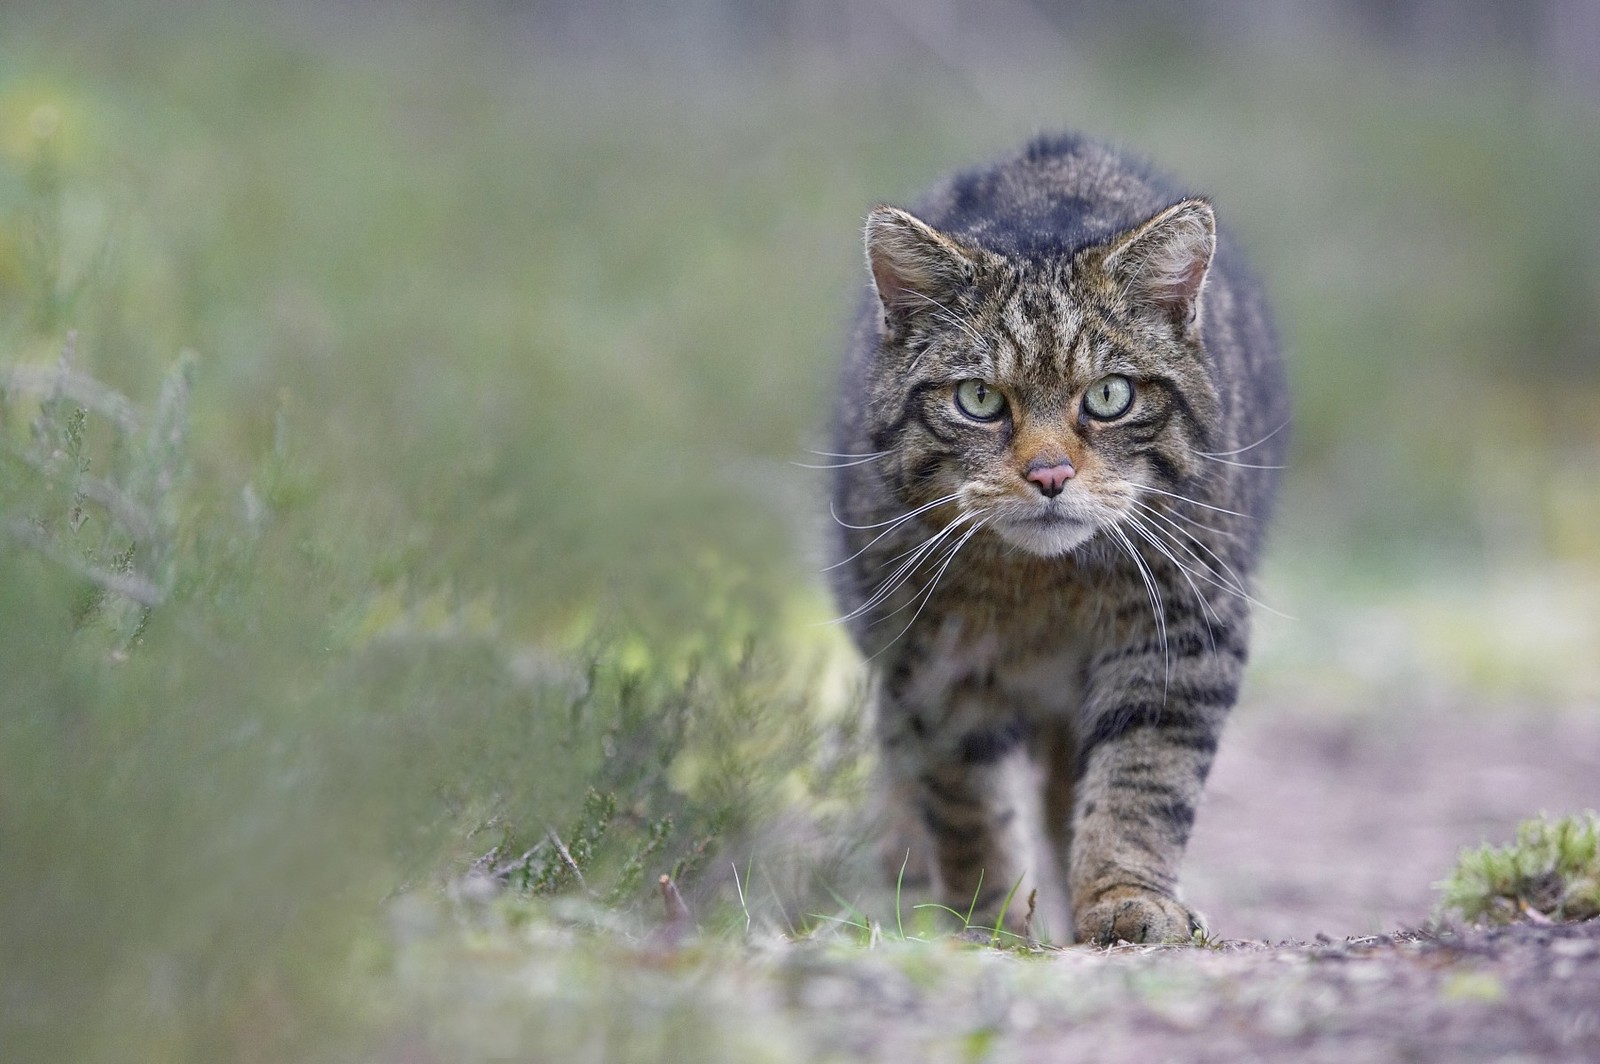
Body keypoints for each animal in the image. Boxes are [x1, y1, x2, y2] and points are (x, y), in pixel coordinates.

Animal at [825, 135, 1286, 947]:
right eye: (979, 399)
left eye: (1110, 396)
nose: (1049, 474)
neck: (1047, 586)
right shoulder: (933, 663)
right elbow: (969, 806)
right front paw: (992, 919)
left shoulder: (1180, 636)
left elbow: (1140, 783)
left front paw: (1122, 896)